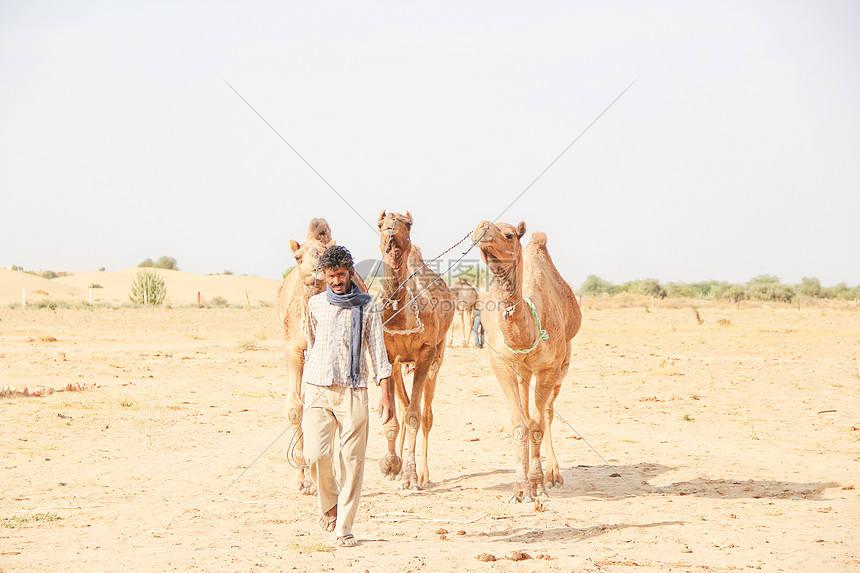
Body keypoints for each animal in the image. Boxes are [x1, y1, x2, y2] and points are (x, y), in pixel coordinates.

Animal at [378, 210, 454, 488]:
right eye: (381, 223)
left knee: (426, 415)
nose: (391, 228)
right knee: (403, 406)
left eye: (407, 223)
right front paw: (391, 465)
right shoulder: (389, 357)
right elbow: (393, 416)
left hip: (437, 357)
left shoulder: (425, 354)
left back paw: (424, 474)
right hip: (401, 364)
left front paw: (410, 476)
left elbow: (414, 416)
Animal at [470, 219, 584, 500]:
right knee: (527, 406)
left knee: (548, 412)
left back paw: (553, 473)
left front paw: (538, 485)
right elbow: (521, 425)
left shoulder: (549, 368)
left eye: (509, 235)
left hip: (563, 364)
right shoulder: (502, 364)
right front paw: (520, 488)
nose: (481, 228)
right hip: (523, 372)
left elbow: (537, 425)